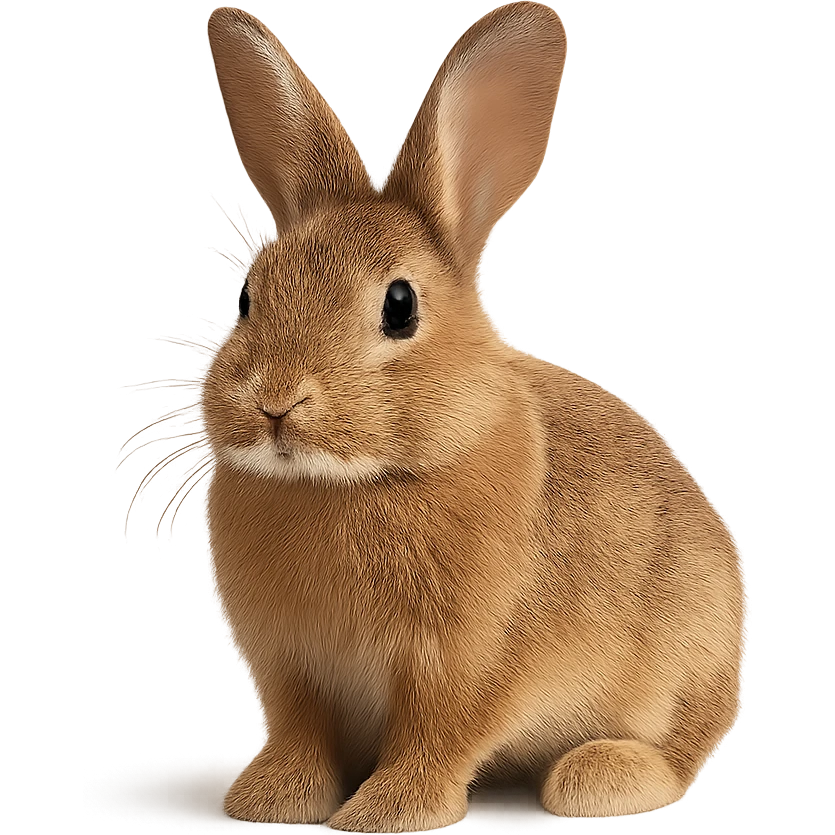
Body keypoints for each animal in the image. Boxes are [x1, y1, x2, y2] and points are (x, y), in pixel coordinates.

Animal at [202, 2, 748, 831]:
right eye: (246, 298)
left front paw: (384, 812)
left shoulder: (468, 666)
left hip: (691, 646)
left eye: (399, 305)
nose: (275, 401)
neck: (353, 485)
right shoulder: (293, 671)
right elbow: (299, 735)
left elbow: (435, 740)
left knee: (682, 747)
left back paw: (599, 776)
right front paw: (271, 800)